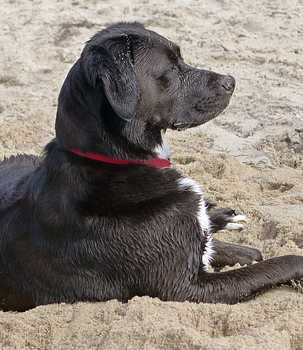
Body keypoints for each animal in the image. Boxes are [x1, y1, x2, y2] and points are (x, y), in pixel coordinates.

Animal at [0, 22, 303, 312]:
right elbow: (273, 264)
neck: (116, 160)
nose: (231, 81)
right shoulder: (185, 288)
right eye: (170, 68)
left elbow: (227, 247)